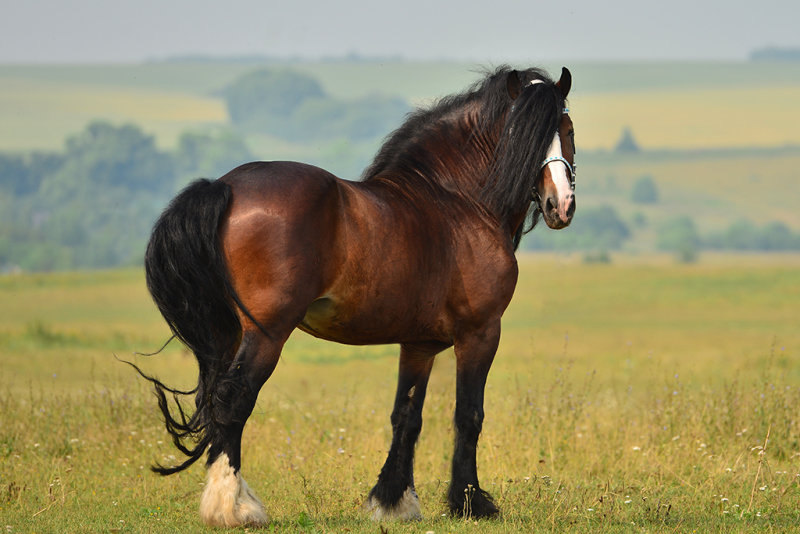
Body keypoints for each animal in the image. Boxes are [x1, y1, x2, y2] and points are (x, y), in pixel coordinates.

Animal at [138, 66, 576, 528]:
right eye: (524, 134)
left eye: (565, 129)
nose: (560, 205)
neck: (457, 202)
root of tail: (226, 187)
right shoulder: (480, 334)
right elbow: (468, 416)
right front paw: (471, 503)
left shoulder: (418, 345)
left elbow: (407, 416)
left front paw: (393, 500)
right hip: (267, 333)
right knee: (233, 400)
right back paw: (233, 508)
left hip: (230, 334)